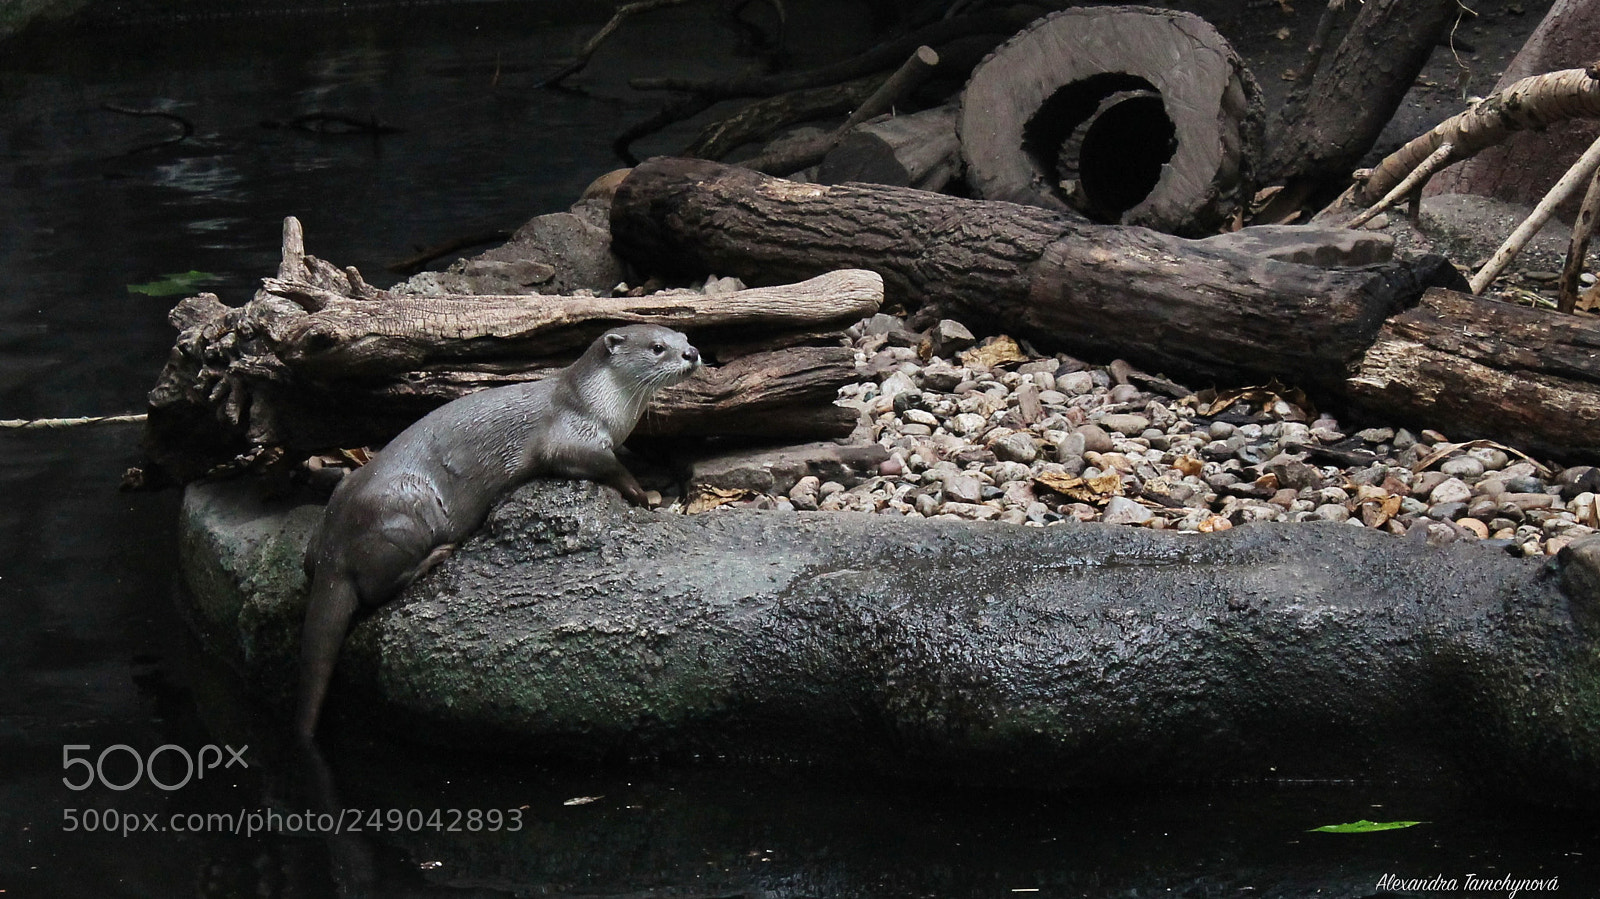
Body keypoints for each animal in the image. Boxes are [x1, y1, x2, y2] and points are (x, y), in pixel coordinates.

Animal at [295, 324, 700, 740]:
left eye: (684, 337)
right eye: (657, 347)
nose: (693, 354)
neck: (601, 406)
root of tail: (333, 552)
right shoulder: (571, 437)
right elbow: (602, 464)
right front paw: (641, 494)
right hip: (407, 514)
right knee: (379, 588)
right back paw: (438, 554)